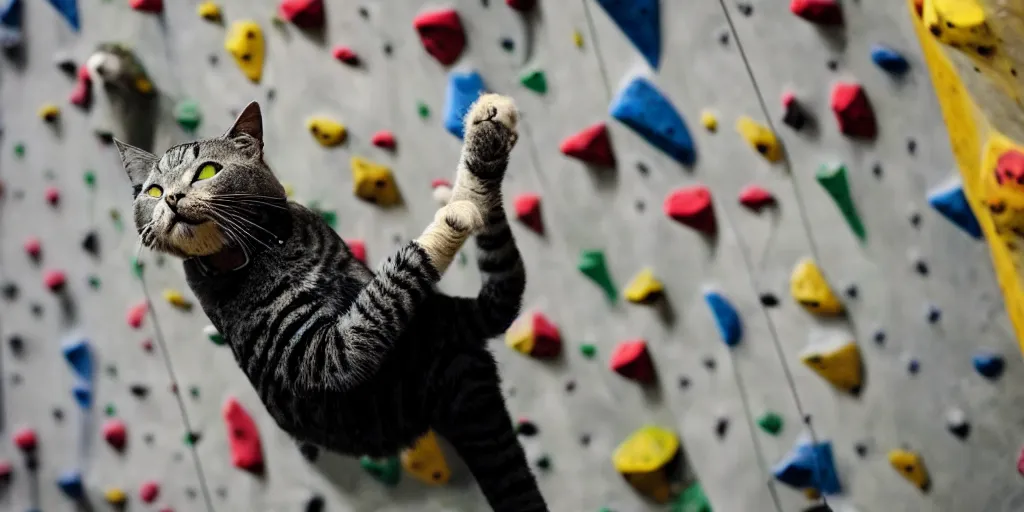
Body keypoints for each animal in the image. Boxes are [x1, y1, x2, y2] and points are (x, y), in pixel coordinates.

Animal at [117, 94, 552, 509]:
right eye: (153, 192)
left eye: (207, 171)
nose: (171, 198)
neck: (264, 249)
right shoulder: (324, 355)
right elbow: (396, 278)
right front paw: (454, 211)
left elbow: (390, 283)